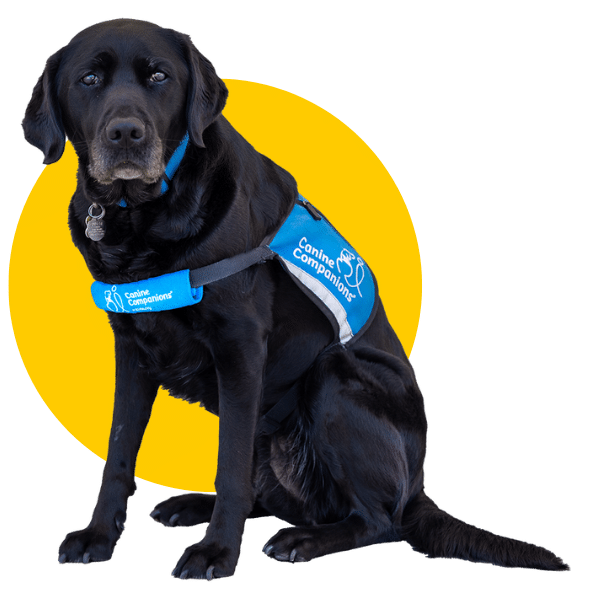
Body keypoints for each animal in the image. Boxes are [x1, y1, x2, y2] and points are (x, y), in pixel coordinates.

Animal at [21, 19, 568, 580]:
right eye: (89, 79)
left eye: (159, 76)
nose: (127, 133)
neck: (142, 216)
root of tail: (418, 486)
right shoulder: (132, 345)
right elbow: (118, 451)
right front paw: (98, 535)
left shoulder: (240, 344)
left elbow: (229, 465)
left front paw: (217, 553)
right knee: (270, 494)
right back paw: (191, 505)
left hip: (333, 376)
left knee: (378, 520)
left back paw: (302, 540)